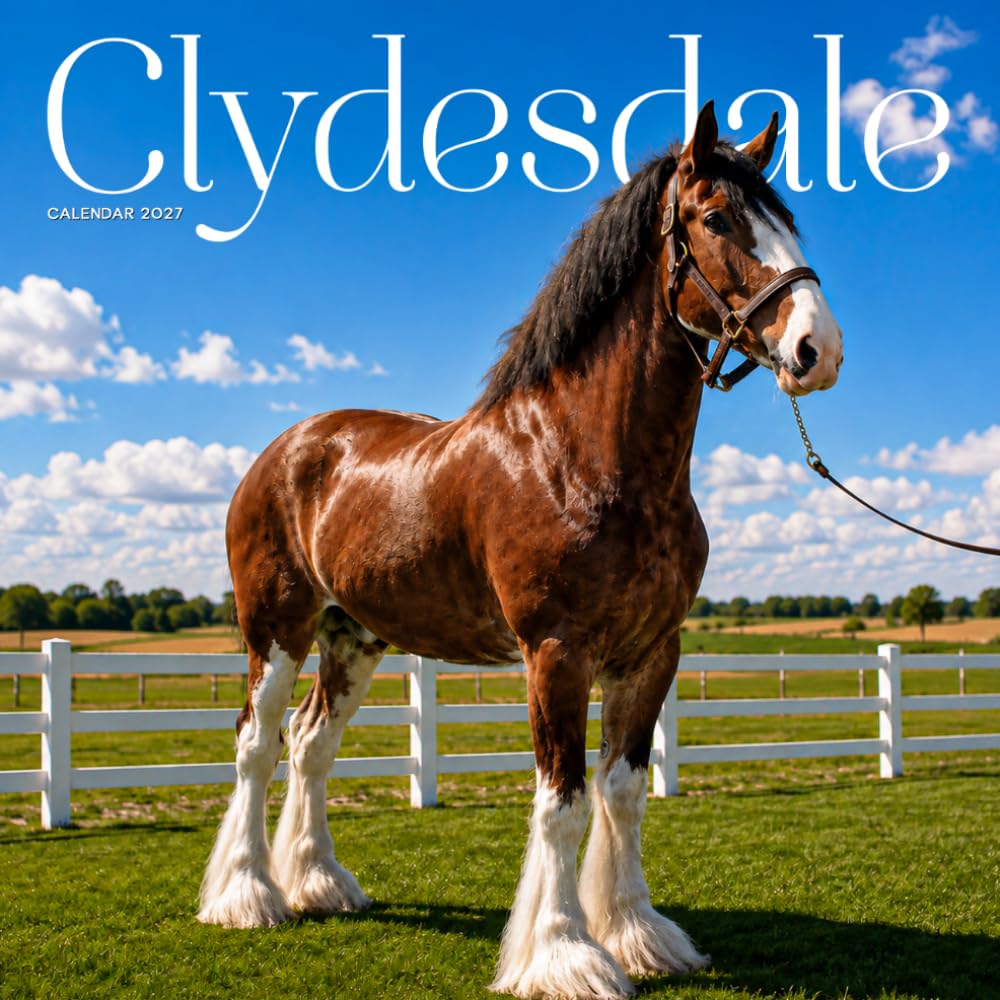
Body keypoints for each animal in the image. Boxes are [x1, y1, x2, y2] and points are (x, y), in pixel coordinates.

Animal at [197, 100, 843, 999]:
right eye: (717, 218)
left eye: (787, 221)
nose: (820, 349)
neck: (584, 456)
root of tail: (285, 449)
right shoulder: (556, 654)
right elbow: (562, 803)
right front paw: (565, 953)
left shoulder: (651, 655)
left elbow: (622, 793)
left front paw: (638, 935)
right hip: (277, 629)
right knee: (257, 744)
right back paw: (248, 896)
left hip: (352, 637)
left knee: (312, 743)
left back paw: (320, 883)